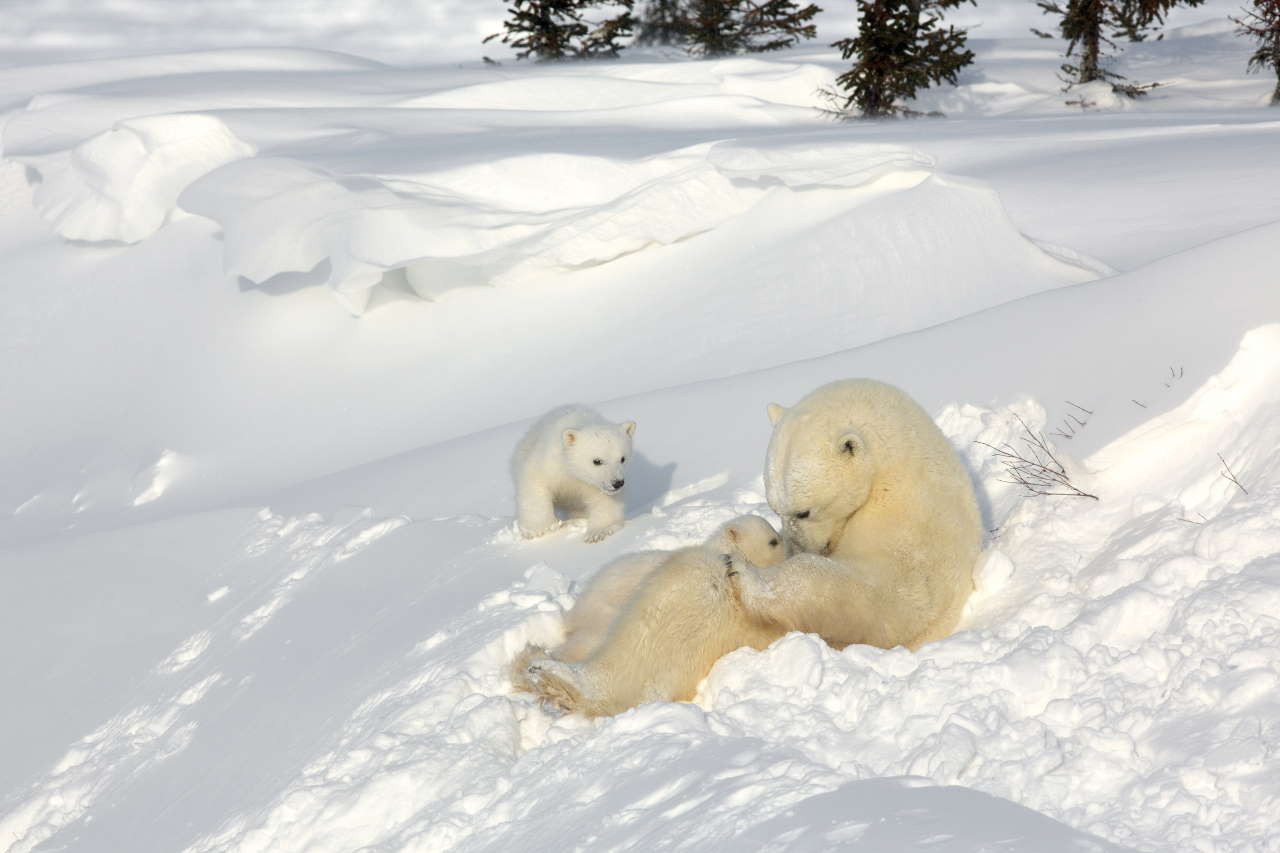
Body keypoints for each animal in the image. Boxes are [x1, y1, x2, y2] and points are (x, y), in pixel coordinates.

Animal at [514, 404, 634, 537]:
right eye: (597, 461)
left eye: (623, 458)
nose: (617, 483)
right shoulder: (549, 463)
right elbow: (535, 483)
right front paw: (539, 529)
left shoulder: (594, 485)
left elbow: (605, 501)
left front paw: (598, 532)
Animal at [727, 376, 983, 648]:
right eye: (775, 509)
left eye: (805, 512)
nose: (796, 549)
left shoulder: (915, 527)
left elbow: (883, 595)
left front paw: (743, 572)